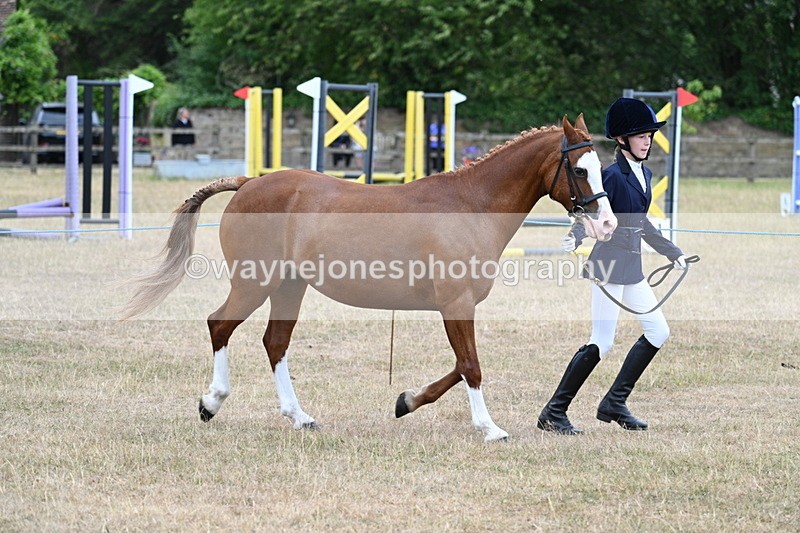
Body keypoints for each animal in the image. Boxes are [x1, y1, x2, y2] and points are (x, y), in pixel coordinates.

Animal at [121, 114, 617, 442]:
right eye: (579, 169)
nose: (608, 224)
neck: (471, 205)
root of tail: (247, 184)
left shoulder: (456, 307)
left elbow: (460, 365)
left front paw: (407, 401)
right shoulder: (456, 304)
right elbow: (472, 365)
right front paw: (489, 428)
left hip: (288, 288)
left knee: (274, 343)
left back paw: (299, 417)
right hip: (253, 283)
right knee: (220, 325)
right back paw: (211, 403)